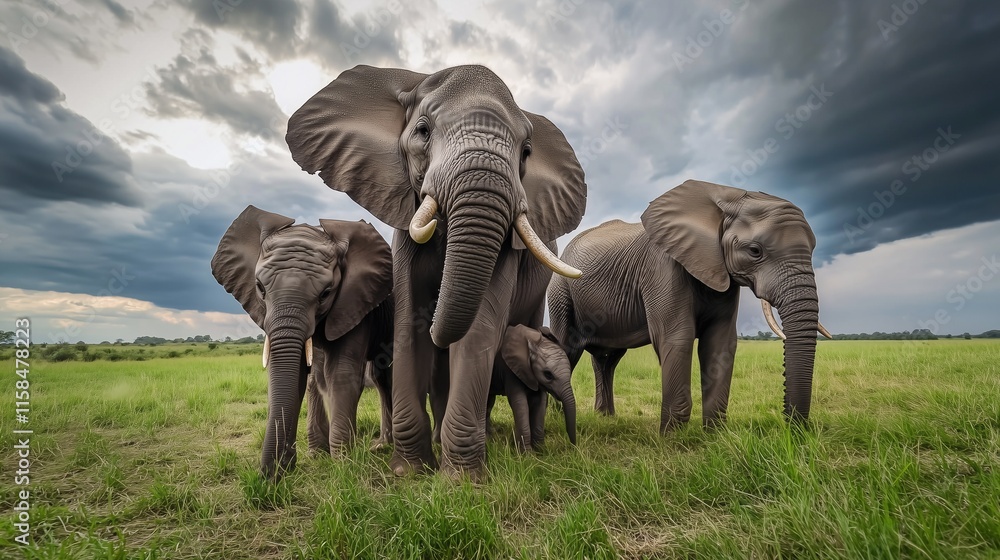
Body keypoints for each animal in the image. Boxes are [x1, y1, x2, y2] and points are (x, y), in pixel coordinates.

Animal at [211, 205, 394, 480]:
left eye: (326, 293)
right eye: (260, 287)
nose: (267, 478)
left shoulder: (356, 304)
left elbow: (341, 373)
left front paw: (343, 466)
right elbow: (298, 374)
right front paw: (300, 463)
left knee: (384, 377)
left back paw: (383, 447)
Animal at [430, 325, 577, 453]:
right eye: (548, 374)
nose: (573, 447)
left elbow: (539, 403)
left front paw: (542, 451)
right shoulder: (510, 369)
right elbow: (520, 403)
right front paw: (527, 455)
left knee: (489, 402)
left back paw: (491, 436)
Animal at [548, 180, 831, 432]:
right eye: (754, 251)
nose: (794, 428)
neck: (726, 198)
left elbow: (720, 342)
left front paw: (714, 435)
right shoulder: (662, 267)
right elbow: (677, 337)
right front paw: (672, 439)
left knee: (607, 360)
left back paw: (605, 417)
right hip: (561, 293)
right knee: (567, 347)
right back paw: (558, 417)